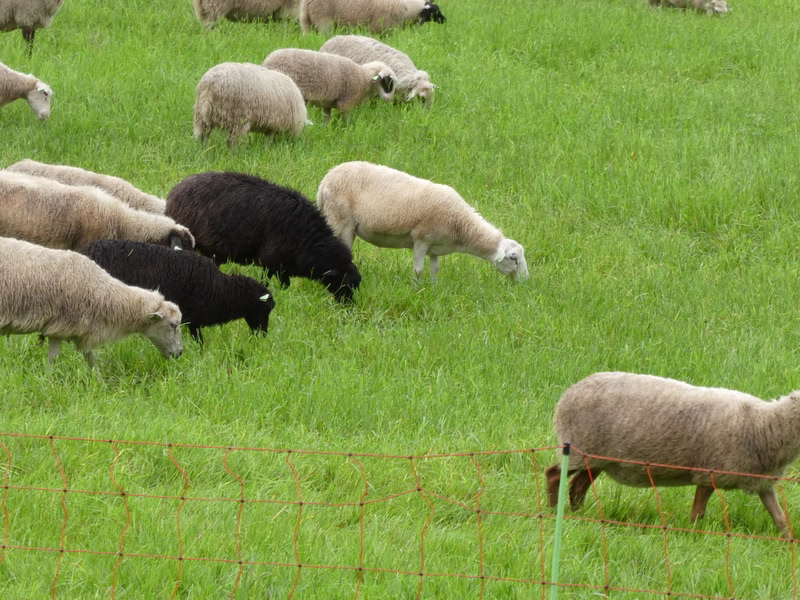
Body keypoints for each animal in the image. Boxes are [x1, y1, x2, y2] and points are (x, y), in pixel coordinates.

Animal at [0, 236, 183, 369]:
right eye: (173, 325)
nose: (180, 353)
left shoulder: (64, 328)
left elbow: (86, 357)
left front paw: (99, 383)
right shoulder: (69, 325)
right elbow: (59, 358)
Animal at [165, 171, 362, 302]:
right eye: (344, 283)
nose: (348, 306)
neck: (307, 240)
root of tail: (174, 191)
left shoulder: (283, 265)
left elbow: (284, 284)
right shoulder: (271, 260)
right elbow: (267, 281)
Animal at [263, 48, 396, 124]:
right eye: (387, 82)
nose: (389, 100)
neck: (362, 77)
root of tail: (267, 62)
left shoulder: (327, 103)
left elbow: (326, 119)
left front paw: (325, 132)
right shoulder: (346, 101)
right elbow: (346, 119)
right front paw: (348, 131)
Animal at [316, 161, 528, 283]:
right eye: (513, 258)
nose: (526, 281)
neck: (461, 225)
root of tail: (326, 178)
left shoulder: (435, 247)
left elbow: (435, 269)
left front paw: (434, 288)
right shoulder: (420, 239)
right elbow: (418, 270)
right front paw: (416, 289)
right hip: (341, 221)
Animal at [545, 371, 800, 537]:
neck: (763, 425)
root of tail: (568, 394)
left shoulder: (762, 483)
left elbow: (780, 519)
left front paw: (788, 544)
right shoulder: (707, 474)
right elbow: (698, 513)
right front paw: (694, 537)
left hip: (597, 458)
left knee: (578, 487)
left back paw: (579, 515)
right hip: (579, 449)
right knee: (554, 475)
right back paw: (554, 512)